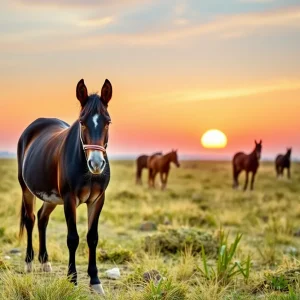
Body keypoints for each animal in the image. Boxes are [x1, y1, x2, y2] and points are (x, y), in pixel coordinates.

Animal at [17, 78, 113, 296]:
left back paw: (45, 262)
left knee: (42, 219)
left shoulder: (97, 200)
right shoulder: (70, 199)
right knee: (30, 219)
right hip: (27, 190)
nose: (96, 164)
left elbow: (92, 238)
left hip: (51, 197)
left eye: (108, 122)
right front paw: (72, 279)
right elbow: (73, 238)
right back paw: (29, 263)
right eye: (82, 122)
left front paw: (95, 281)